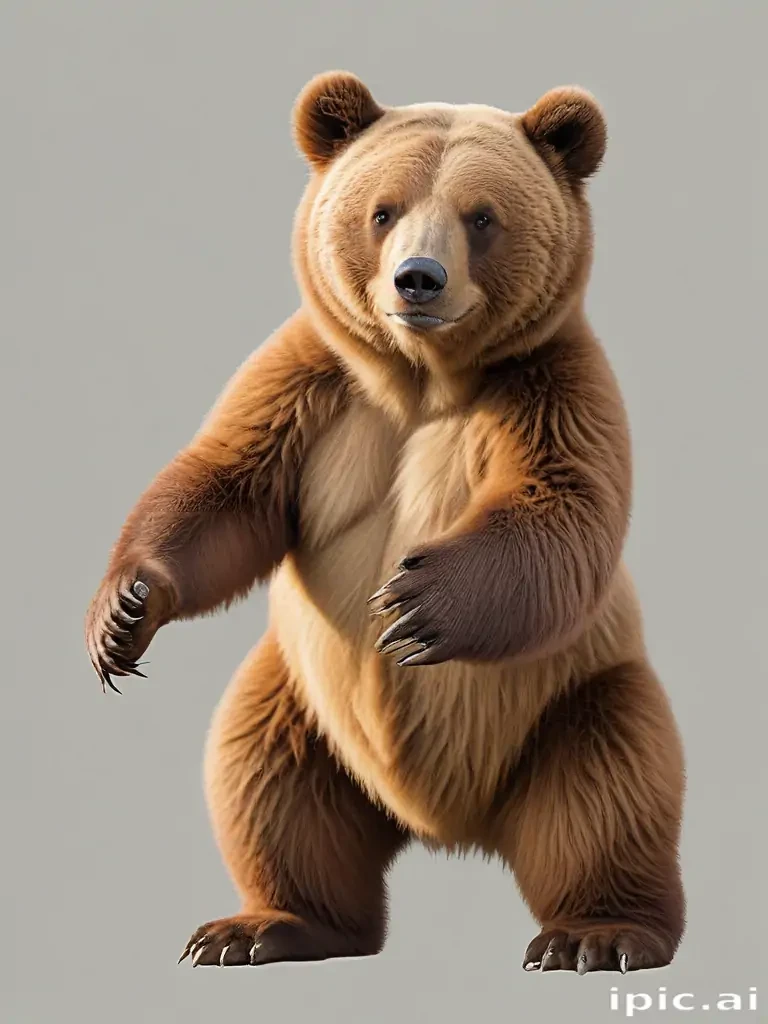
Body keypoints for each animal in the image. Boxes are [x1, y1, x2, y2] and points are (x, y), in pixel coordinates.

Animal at [85, 71, 686, 975]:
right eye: (383, 209)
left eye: (482, 215)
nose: (418, 279)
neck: (422, 382)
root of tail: (449, 827)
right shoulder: (313, 385)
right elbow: (225, 488)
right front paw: (122, 616)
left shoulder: (548, 386)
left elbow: (561, 508)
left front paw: (415, 606)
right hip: (299, 703)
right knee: (265, 781)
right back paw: (264, 927)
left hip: (572, 698)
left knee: (610, 789)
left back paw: (599, 933)